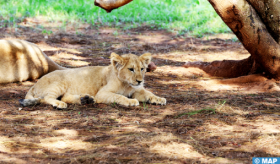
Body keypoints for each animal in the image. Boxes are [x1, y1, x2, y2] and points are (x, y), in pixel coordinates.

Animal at [19, 52, 166, 108]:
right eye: (131, 69)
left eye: (142, 69)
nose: (140, 81)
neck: (127, 85)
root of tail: (34, 85)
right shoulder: (102, 93)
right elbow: (119, 96)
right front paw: (130, 101)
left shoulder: (138, 90)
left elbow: (149, 93)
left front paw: (159, 99)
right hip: (59, 83)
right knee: (47, 98)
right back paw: (59, 104)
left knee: (65, 97)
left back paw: (85, 99)